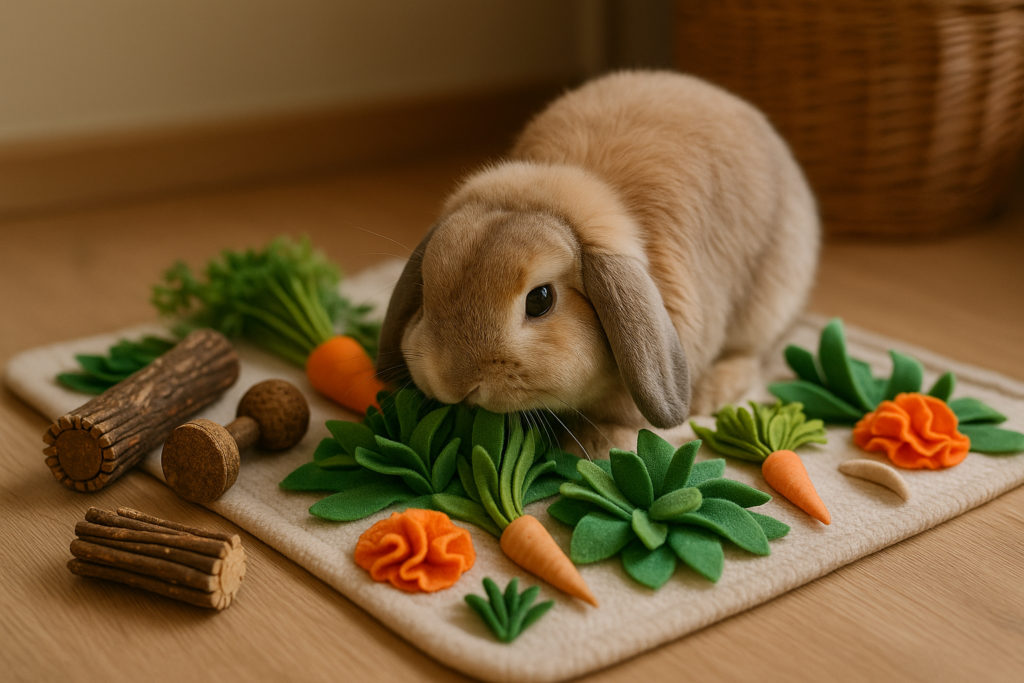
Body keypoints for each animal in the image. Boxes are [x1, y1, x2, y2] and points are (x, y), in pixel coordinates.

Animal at [377, 70, 819, 457]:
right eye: (427, 290)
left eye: (539, 300)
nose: (455, 383)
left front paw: (599, 446)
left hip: (770, 300)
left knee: (753, 352)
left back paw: (712, 391)